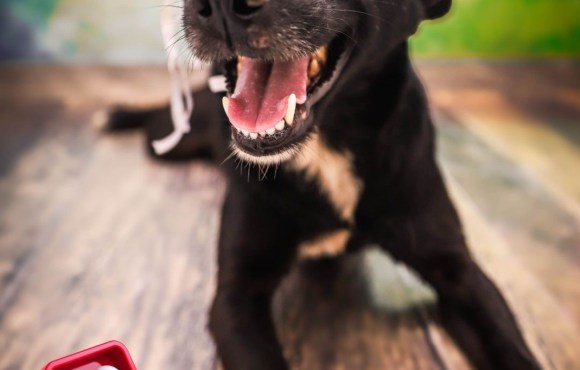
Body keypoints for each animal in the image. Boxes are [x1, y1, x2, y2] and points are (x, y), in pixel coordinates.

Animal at [106, 0, 540, 370]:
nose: (223, 8)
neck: (326, 144)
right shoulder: (236, 295)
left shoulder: (457, 271)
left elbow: (514, 349)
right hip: (167, 140)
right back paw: (120, 114)